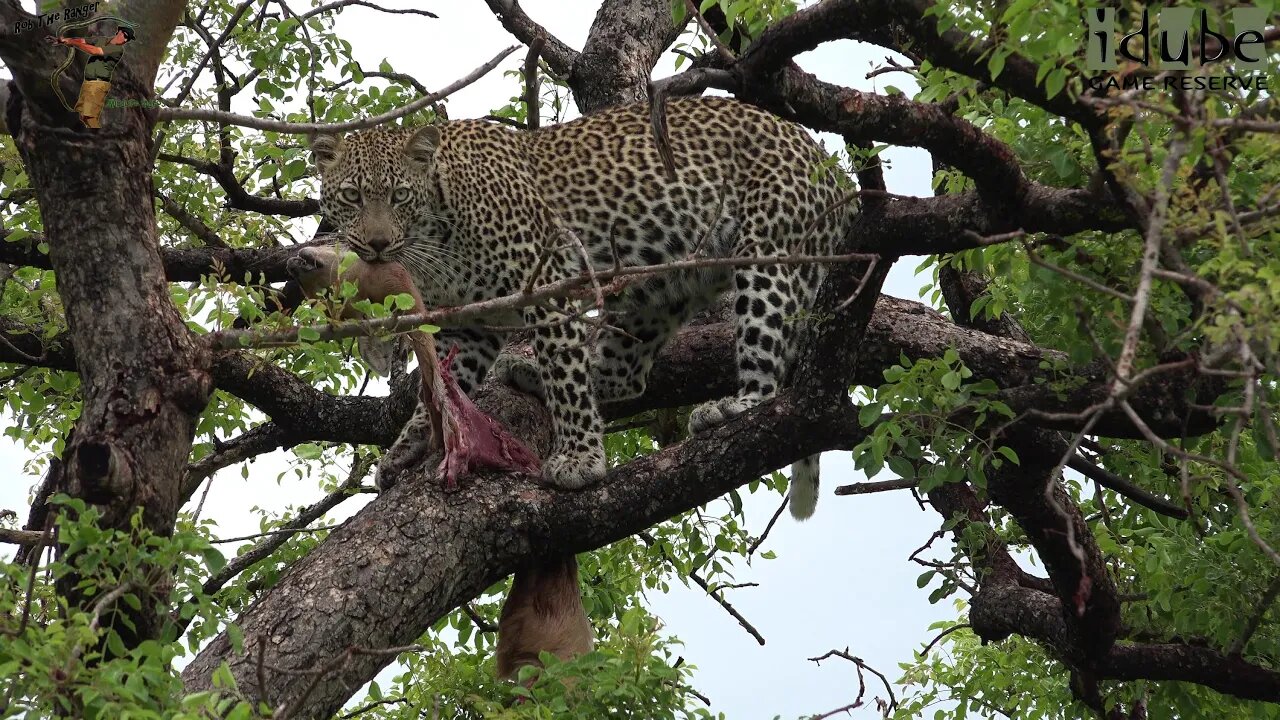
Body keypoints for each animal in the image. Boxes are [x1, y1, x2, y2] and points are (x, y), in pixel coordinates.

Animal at [308, 98, 849, 517]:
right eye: (352, 196)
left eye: (400, 195)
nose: (378, 245)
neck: (435, 227)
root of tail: (833, 168)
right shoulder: (475, 321)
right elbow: (441, 385)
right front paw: (407, 448)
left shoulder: (545, 283)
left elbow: (563, 371)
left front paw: (582, 461)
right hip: (657, 286)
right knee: (628, 376)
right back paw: (531, 374)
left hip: (769, 255)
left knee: (765, 366)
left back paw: (734, 406)